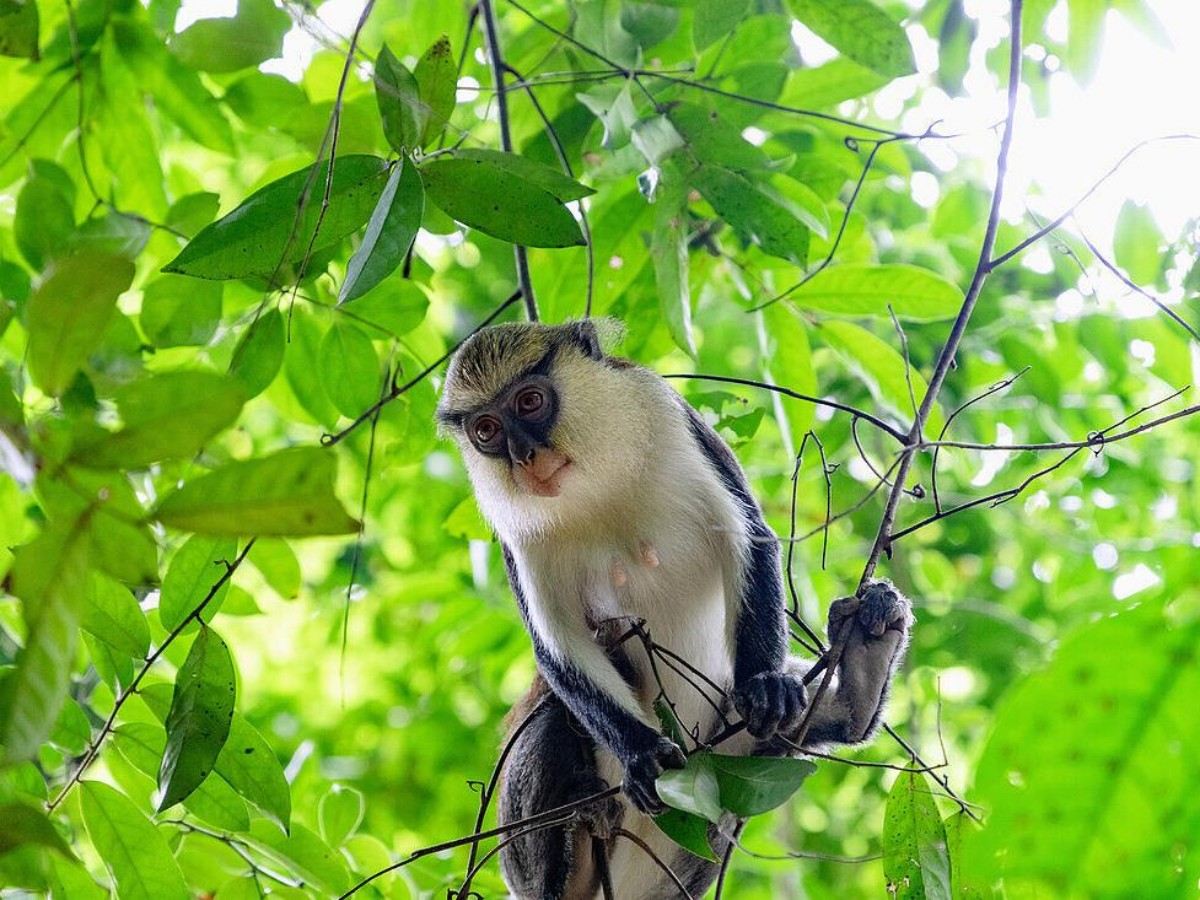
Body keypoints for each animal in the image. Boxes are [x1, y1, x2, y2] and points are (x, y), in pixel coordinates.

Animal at [437, 320, 912, 899]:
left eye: (529, 402)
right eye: (486, 430)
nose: (525, 455)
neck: (595, 486)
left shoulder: (667, 416)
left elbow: (749, 539)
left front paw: (767, 684)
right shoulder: (514, 531)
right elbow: (558, 647)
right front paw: (641, 754)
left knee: (779, 729)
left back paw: (862, 665)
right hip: (526, 863)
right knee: (549, 723)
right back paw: (583, 827)